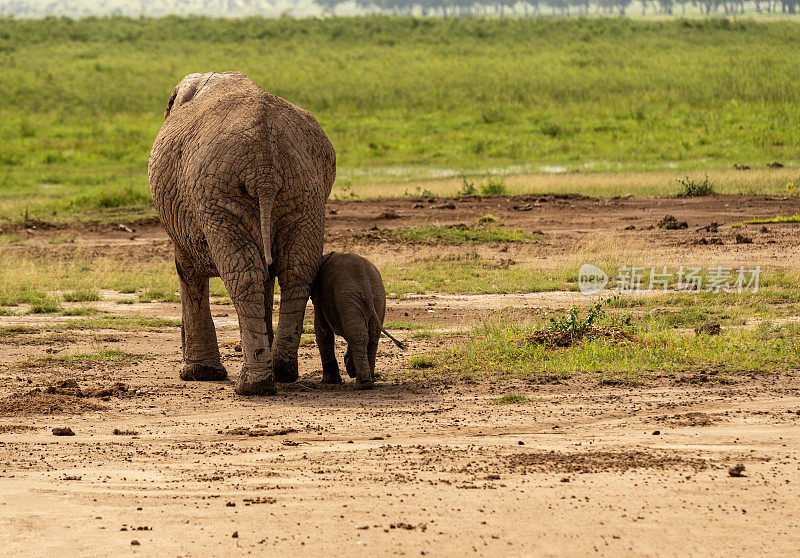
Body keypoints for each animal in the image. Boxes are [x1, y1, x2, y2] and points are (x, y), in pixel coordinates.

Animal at [148, 72, 334, 398]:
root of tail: (265, 165)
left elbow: (186, 268)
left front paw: (197, 375)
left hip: (216, 192)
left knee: (243, 273)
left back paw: (253, 386)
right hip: (304, 188)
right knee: (296, 269)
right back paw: (281, 372)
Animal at [310, 253, 404, 390]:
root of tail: (366, 284)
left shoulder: (318, 294)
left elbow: (321, 330)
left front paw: (329, 381)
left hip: (349, 297)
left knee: (357, 335)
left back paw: (362, 384)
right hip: (379, 298)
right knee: (371, 337)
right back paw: (368, 381)